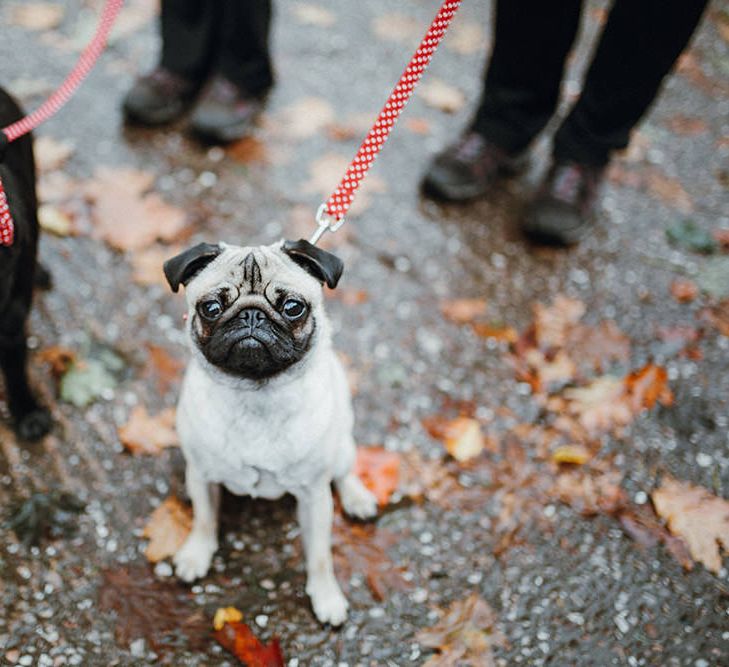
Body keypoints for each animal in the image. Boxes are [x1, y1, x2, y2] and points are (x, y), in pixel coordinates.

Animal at [164, 239, 376, 628]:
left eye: (293, 307)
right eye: (211, 308)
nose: (251, 315)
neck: (256, 395)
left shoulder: (314, 496)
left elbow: (320, 555)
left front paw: (326, 596)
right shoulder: (201, 476)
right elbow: (204, 520)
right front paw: (196, 555)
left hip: (342, 445)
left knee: (344, 471)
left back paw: (357, 498)